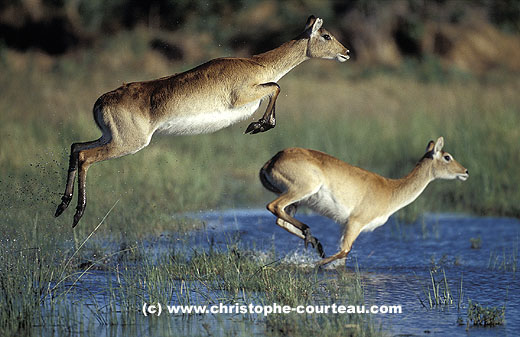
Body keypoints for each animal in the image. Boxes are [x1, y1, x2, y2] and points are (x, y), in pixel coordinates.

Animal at [53, 15, 350, 226]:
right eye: (326, 35)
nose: (346, 52)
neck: (257, 64)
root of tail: (99, 101)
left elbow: (275, 88)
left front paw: (257, 125)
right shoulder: (244, 96)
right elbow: (276, 86)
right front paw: (257, 126)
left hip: (109, 137)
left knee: (76, 147)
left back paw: (62, 206)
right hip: (127, 143)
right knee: (86, 157)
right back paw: (77, 214)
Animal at [262, 136, 470, 266]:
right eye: (447, 157)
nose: (466, 171)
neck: (390, 190)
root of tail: (273, 159)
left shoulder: (345, 225)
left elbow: (343, 258)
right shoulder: (355, 222)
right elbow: (345, 251)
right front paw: (316, 264)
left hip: (296, 200)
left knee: (280, 219)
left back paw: (314, 240)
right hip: (301, 190)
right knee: (273, 206)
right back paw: (310, 236)